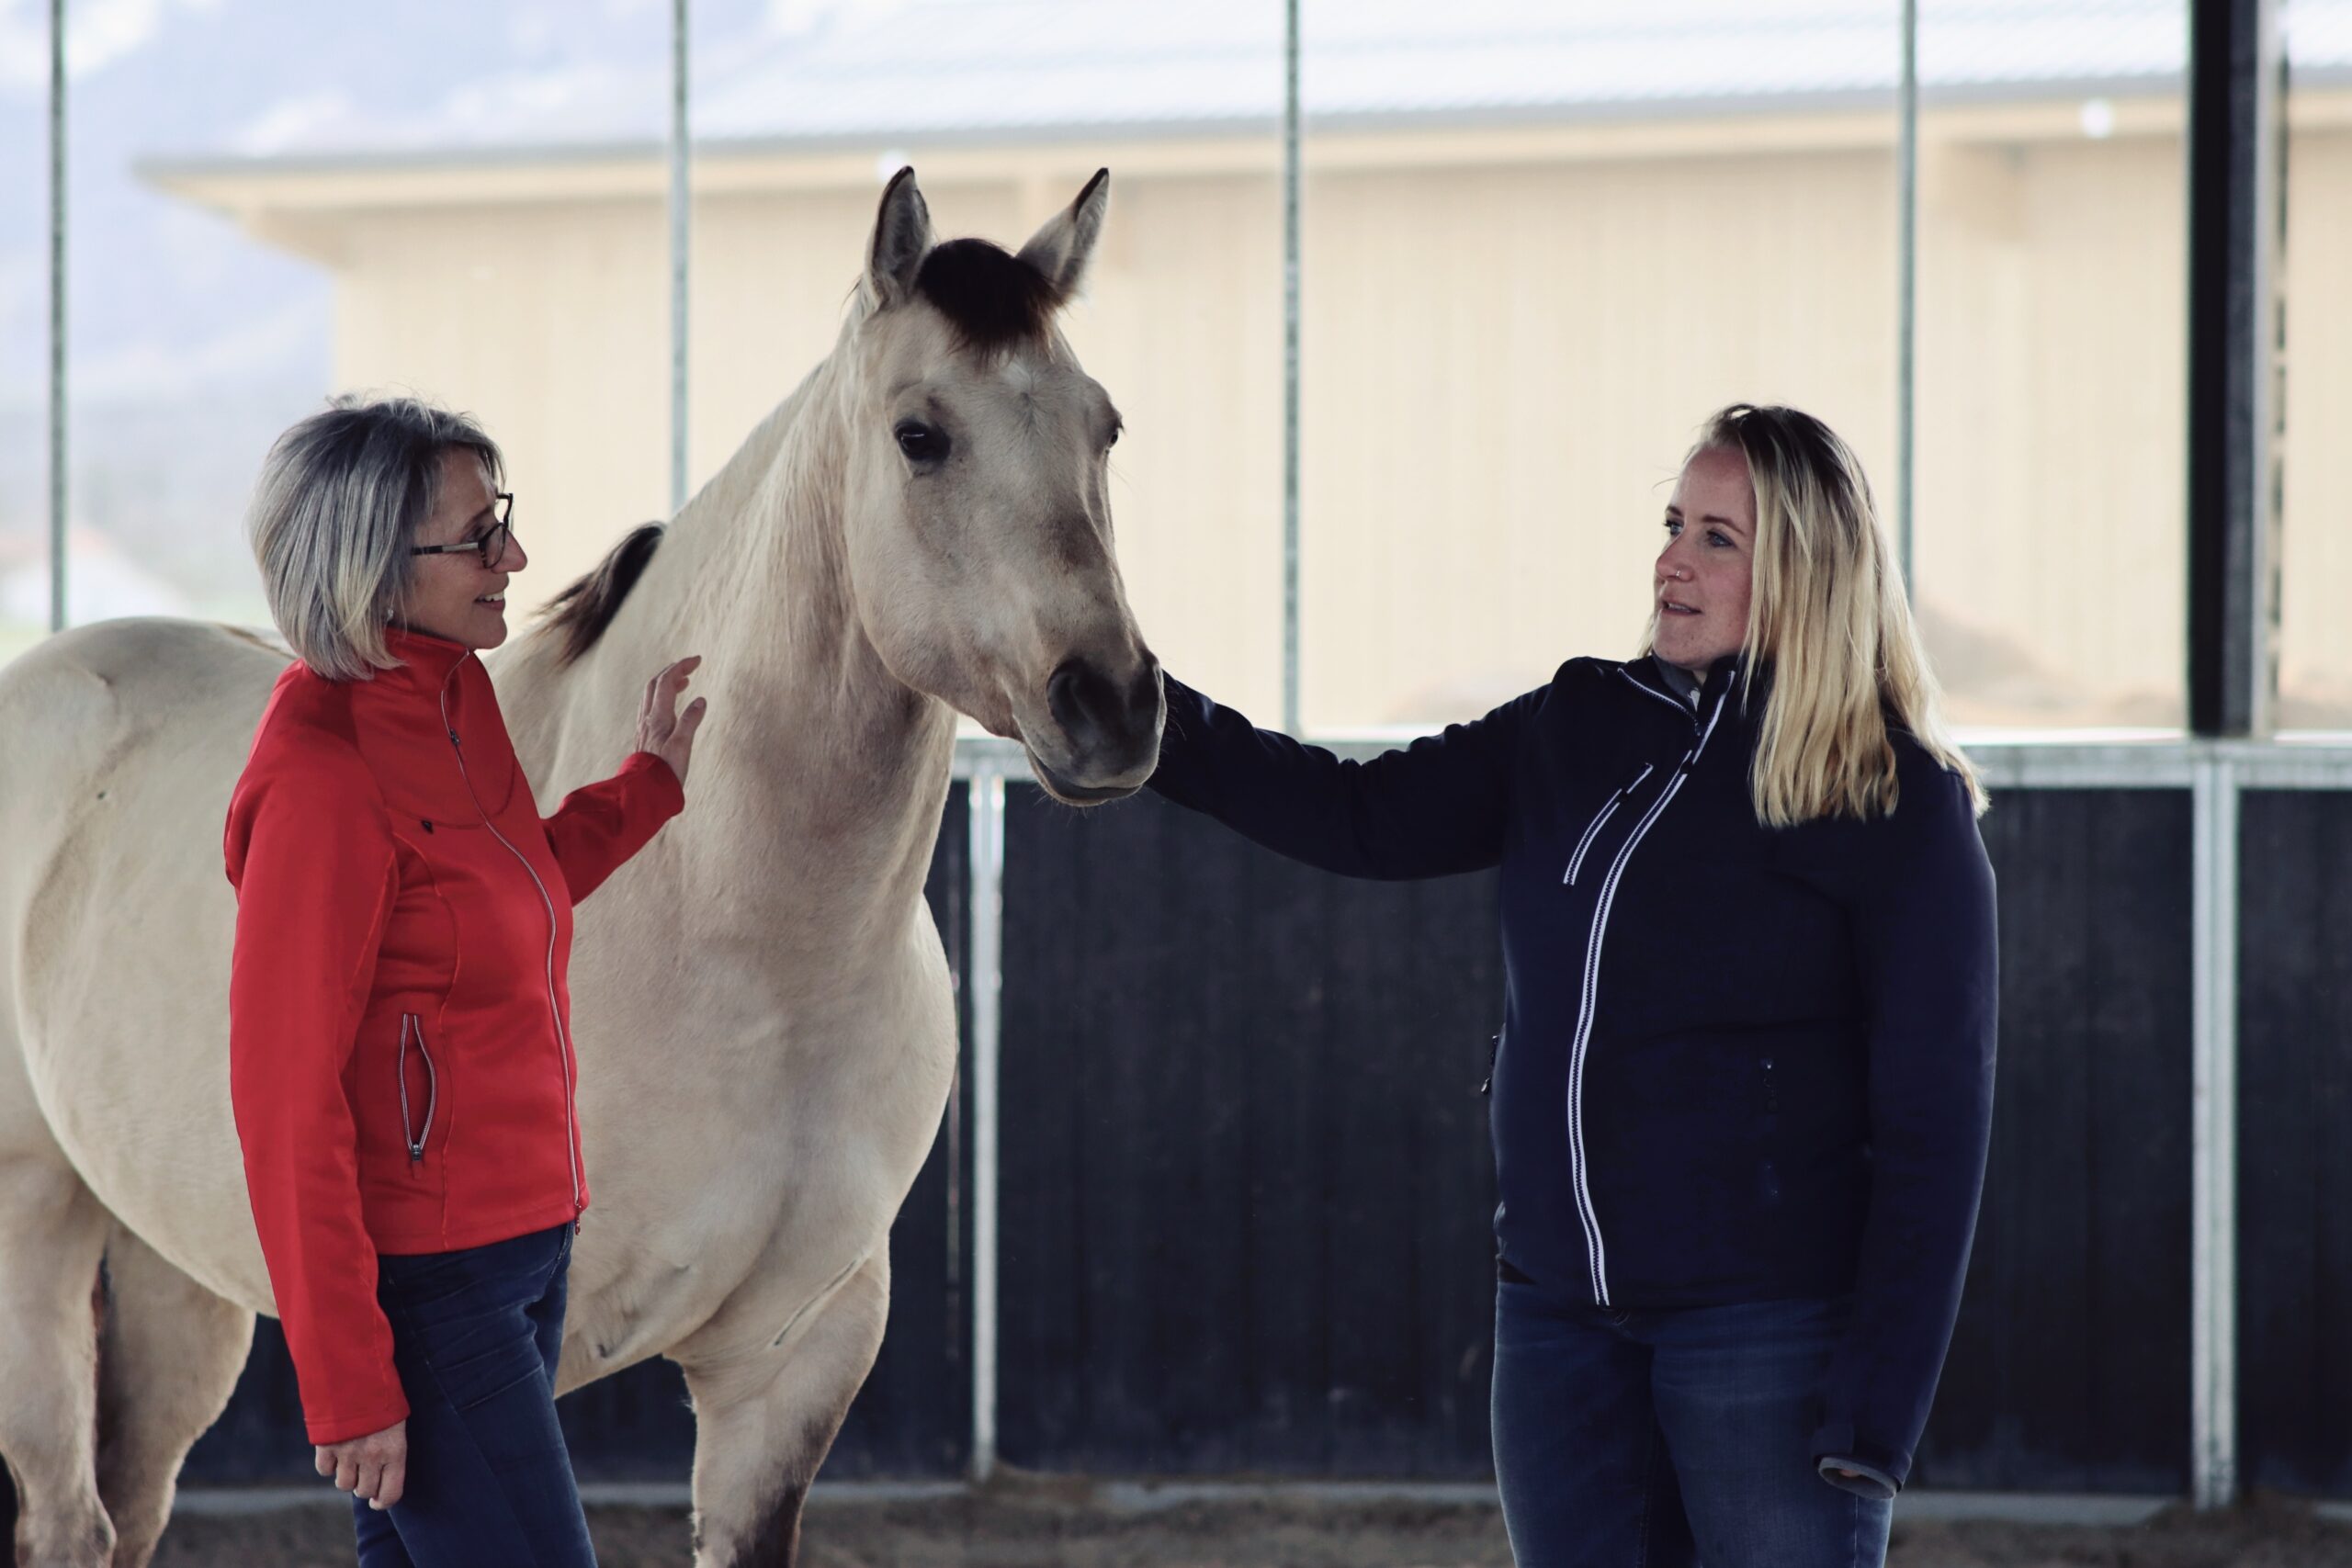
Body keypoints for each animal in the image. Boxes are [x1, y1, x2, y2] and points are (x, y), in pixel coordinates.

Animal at [0, 171, 1157, 1568]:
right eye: (920, 435)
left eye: (1104, 426)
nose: (1113, 705)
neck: (741, 943)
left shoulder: (792, 1365)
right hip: (35, 1227)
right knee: (66, 1515)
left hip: (178, 1270)